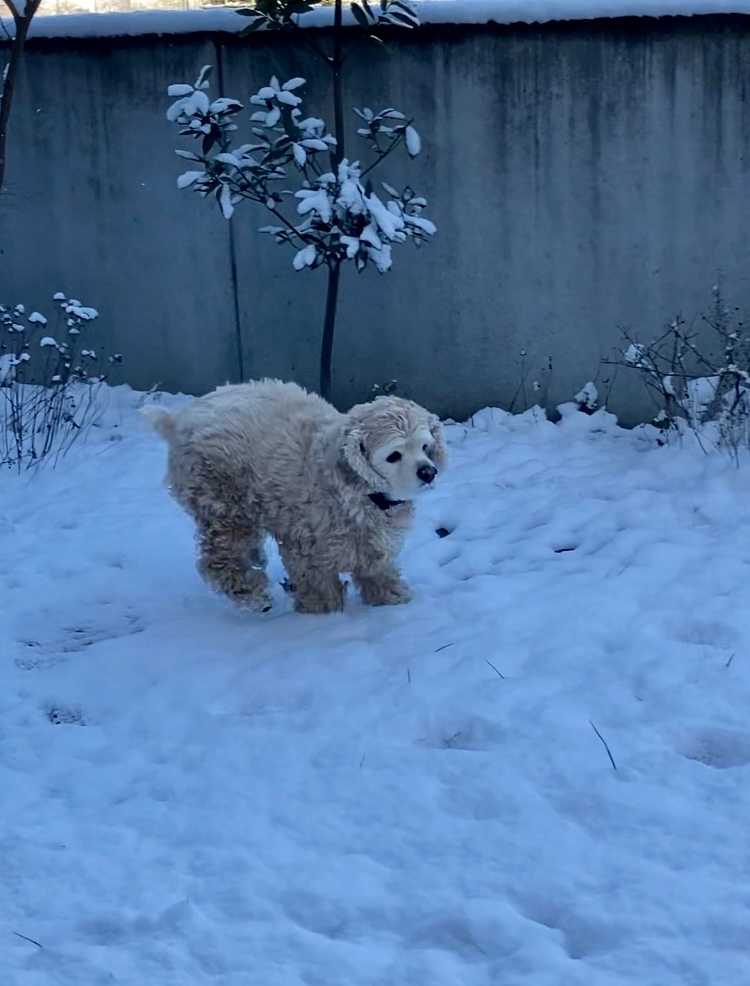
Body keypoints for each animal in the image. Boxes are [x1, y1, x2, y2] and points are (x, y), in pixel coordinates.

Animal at [142, 380, 446, 612]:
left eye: (425, 447)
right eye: (394, 455)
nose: (428, 472)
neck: (360, 489)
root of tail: (177, 420)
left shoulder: (372, 541)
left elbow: (377, 567)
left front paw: (391, 596)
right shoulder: (306, 542)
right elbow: (315, 579)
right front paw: (322, 610)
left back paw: (256, 558)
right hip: (222, 503)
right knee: (218, 559)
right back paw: (251, 594)